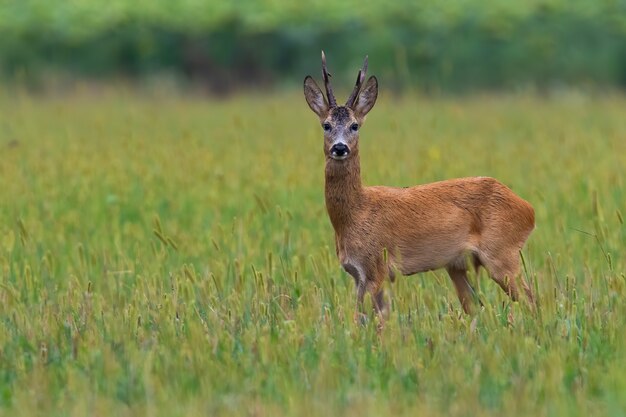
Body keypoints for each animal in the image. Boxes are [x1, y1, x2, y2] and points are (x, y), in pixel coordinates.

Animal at [302, 52, 532, 318]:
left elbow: (377, 320)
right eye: (326, 125)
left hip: (502, 254)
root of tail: (529, 210)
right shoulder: (357, 274)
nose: (340, 148)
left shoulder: (377, 267)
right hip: (458, 265)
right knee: (477, 308)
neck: (355, 213)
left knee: (531, 299)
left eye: (355, 125)